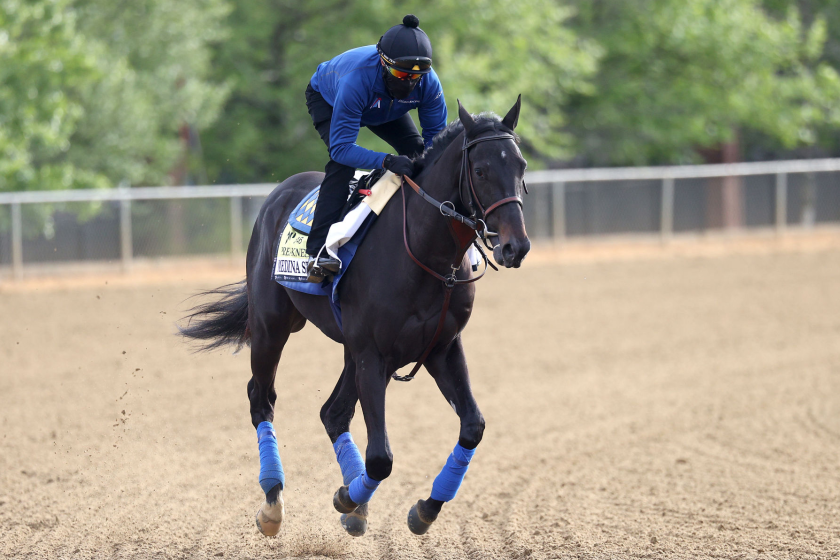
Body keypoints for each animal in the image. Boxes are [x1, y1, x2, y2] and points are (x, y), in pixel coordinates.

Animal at [180, 97, 528, 540]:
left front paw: (421, 508)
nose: (516, 246)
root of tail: (280, 193)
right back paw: (274, 502)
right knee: (262, 398)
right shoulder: (372, 353)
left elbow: (472, 427)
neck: (426, 254)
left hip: (353, 349)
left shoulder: (440, 349)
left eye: (520, 166)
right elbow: (381, 457)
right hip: (272, 326)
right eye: (481, 170)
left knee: (333, 412)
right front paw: (350, 498)